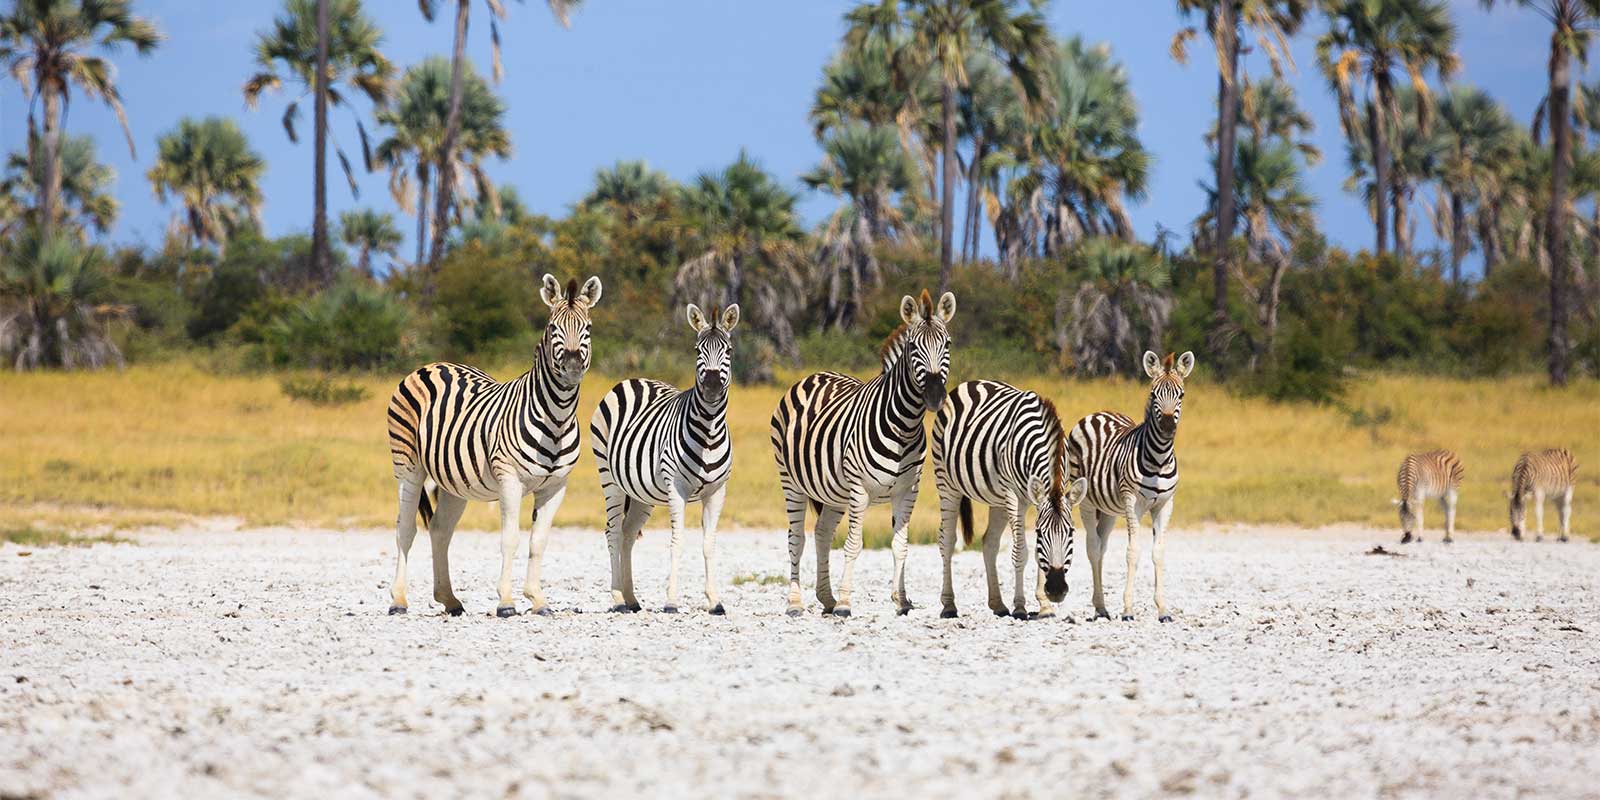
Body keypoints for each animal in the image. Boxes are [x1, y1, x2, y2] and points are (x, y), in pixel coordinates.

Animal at [385, 273, 602, 618]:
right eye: (553, 327)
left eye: (588, 328)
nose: (571, 368)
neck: (556, 417)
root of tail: (433, 364)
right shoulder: (509, 479)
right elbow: (510, 538)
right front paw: (507, 602)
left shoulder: (556, 486)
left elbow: (539, 541)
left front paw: (538, 600)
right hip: (408, 467)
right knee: (405, 529)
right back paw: (399, 600)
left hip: (453, 482)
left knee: (440, 529)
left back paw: (449, 599)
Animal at [589, 303, 740, 615]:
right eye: (697, 350)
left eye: (729, 350)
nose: (711, 386)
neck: (708, 431)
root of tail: (631, 379)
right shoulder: (677, 488)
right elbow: (677, 541)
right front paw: (671, 600)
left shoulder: (717, 490)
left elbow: (709, 544)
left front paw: (715, 601)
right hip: (609, 478)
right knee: (613, 532)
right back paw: (618, 598)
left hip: (640, 492)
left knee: (628, 533)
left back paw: (632, 597)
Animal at [770, 289, 956, 617]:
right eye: (913, 347)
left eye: (946, 345)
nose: (935, 396)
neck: (904, 425)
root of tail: (814, 375)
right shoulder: (859, 490)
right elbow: (854, 544)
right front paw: (846, 603)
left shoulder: (908, 491)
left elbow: (900, 546)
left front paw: (901, 601)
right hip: (791, 482)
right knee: (796, 539)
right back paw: (796, 602)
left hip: (833, 492)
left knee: (821, 533)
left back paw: (827, 598)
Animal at [933, 380, 1088, 620]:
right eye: (1040, 532)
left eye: (1071, 532)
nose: (1056, 590)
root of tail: (970, 383)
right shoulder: (1015, 496)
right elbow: (1021, 553)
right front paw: (1020, 607)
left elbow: (1036, 553)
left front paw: (1044, 606)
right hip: (947, 482)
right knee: (947, 541)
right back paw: (949, 605)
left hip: (997, 499)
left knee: (989, 542)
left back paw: (998, 604)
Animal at [1067, 350, 1195, 623]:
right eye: (1153, 394)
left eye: (1181, 395)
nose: (1167, 428)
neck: (1159, 459)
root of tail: (1098, 413)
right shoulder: (1132, 502)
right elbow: (1133, 552)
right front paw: (1127, 610)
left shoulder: (1165, 504)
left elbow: (1158, 553)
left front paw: (1163, 609)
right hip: (1086, 501)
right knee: (1093, 548)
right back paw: (1101, 606)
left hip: (1109, 510)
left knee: (1102, 547)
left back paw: (1101, 607)